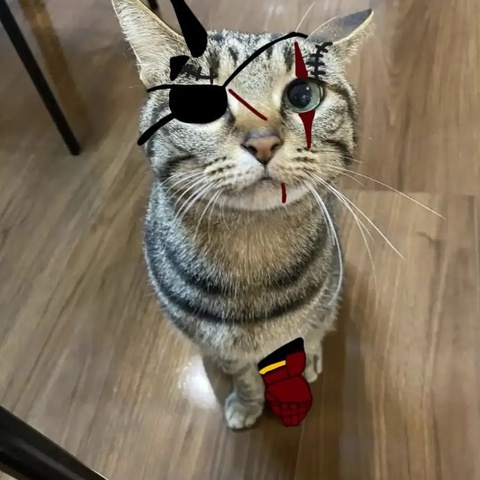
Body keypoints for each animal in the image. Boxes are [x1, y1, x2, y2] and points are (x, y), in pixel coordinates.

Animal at [111, 0, 373, 429]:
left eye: (304, 95)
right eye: (200, 102)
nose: (263, 142)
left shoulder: (314, 309)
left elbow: (304, 340)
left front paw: (298, 373)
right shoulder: (223, 346)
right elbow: (245, 376)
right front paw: (249, 402)